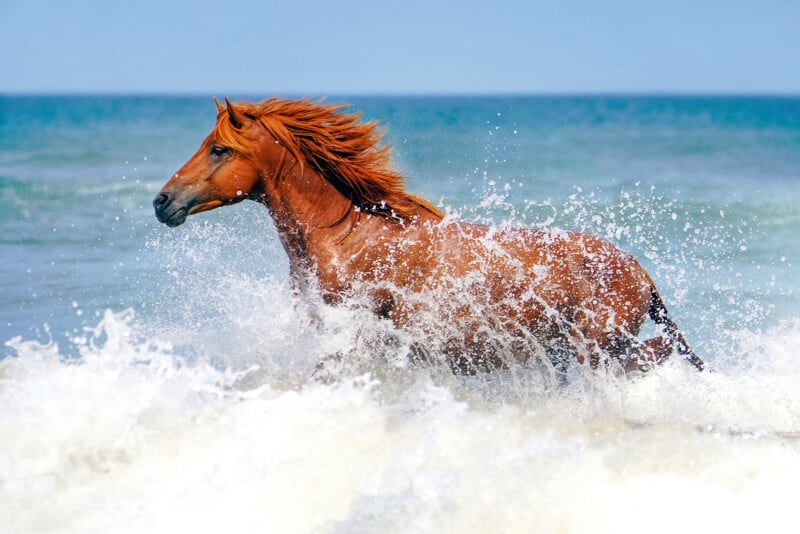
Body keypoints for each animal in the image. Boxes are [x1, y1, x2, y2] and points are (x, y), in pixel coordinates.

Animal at [153, 97, 704, 376]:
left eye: (220, 149)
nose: (162, 201)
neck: (349, 239)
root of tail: (642, 272)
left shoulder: (361, 336)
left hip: (598, 348)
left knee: (649, 356)